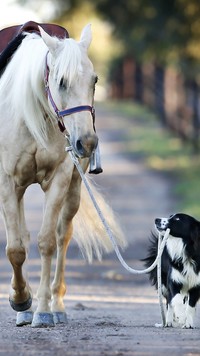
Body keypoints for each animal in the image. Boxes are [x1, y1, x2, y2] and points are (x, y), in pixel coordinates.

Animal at [0, 23, 126, 328]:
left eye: (95, 80)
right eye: (61, 82)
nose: (87, 143)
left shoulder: (59, 179)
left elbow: (47, 242)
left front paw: (44, 309)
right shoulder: (7, 183)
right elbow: (15, 248)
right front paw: (21, 299)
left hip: (74, 187)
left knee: (62, 235)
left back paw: (57, 304)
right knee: (22, 236)